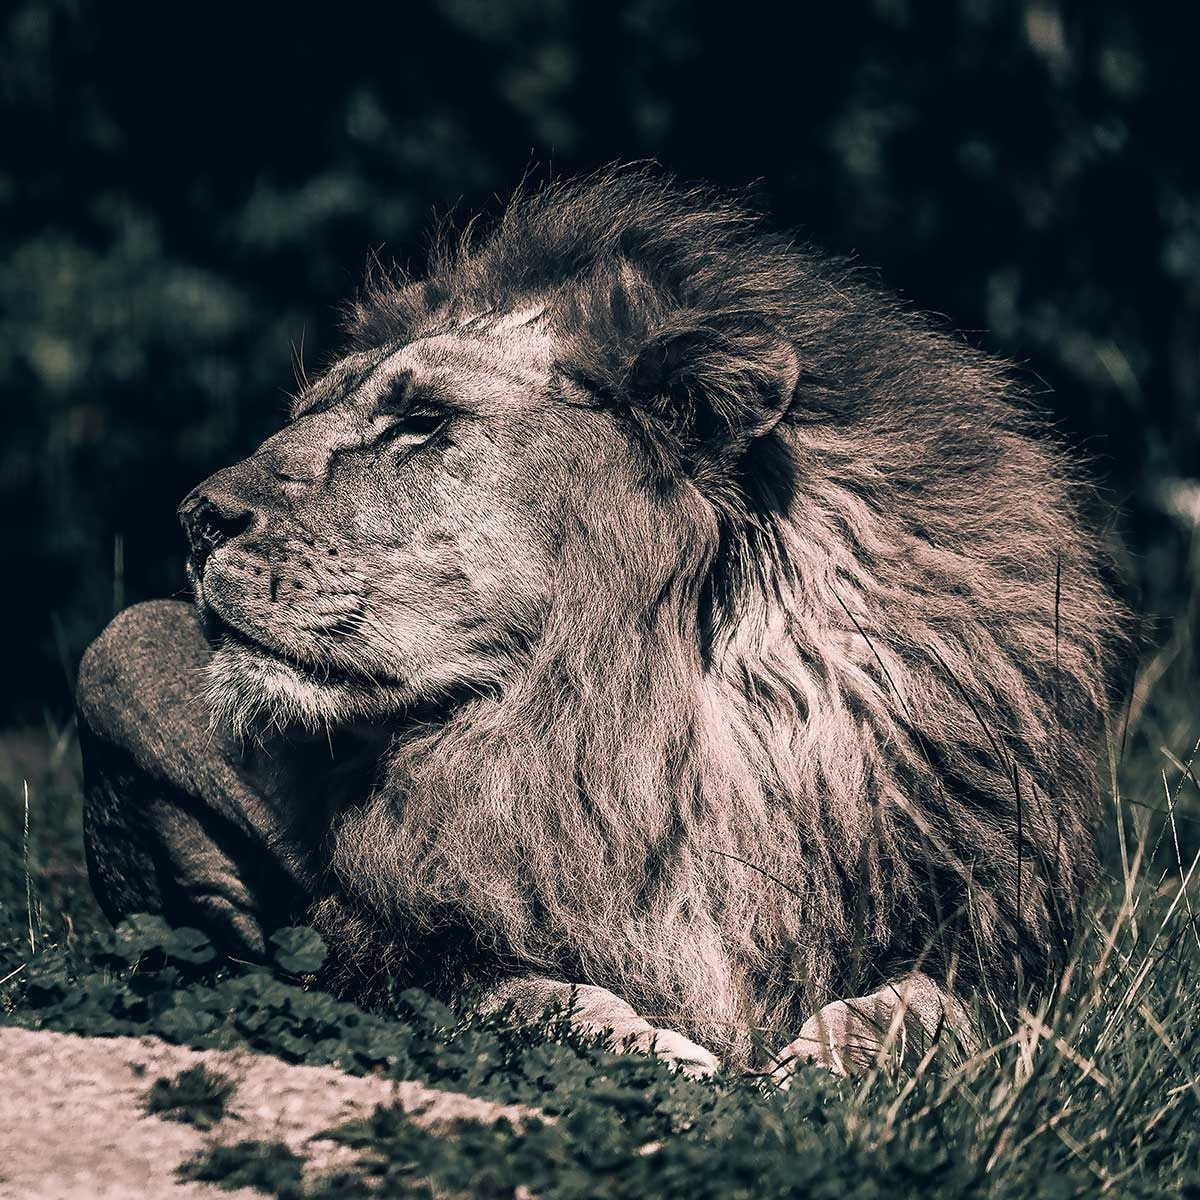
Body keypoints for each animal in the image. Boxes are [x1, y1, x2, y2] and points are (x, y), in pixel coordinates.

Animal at [77, 168, 1123, 1077]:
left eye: (421, 422)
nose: (195, 517)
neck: (642, 732)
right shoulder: (387, 944)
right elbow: (520, 991)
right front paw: (664, 1053)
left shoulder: (996, 936)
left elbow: (936, 1007)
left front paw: (830, 1062)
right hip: (112, 653)